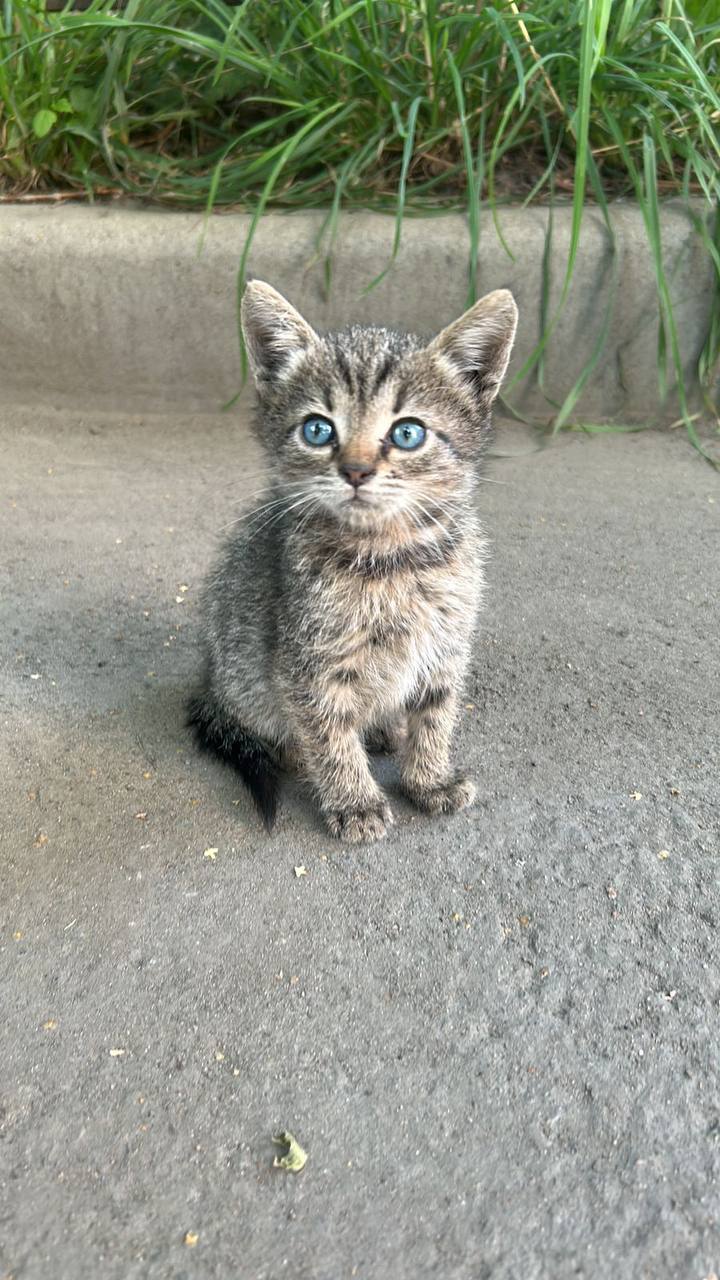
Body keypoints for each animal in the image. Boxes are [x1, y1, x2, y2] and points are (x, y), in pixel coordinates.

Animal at [188, 281, 515, 844]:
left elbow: (436, 714)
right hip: (243, 680)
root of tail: (211, 687)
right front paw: (354, 800)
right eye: (318, 430)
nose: (356, 470)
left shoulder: (445, 645)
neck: (394, 558)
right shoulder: (306, 663)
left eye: (407, 433)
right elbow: (329, 732)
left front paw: (429, 778)